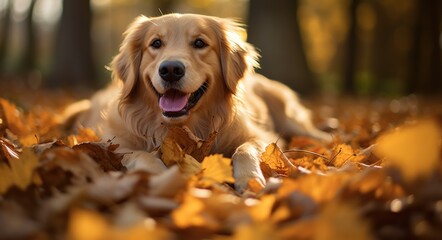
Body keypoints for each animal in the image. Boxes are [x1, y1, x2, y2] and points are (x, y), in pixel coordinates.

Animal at [75, 13, 332, 192]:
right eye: (156, 43)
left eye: (199, 43)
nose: (171, 69)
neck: (184, 127)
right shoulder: (115, 144)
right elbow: (142, 155)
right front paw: (160, 177)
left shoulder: (261, 136)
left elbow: (244, 150)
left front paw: (250, 179)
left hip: (289, 118)